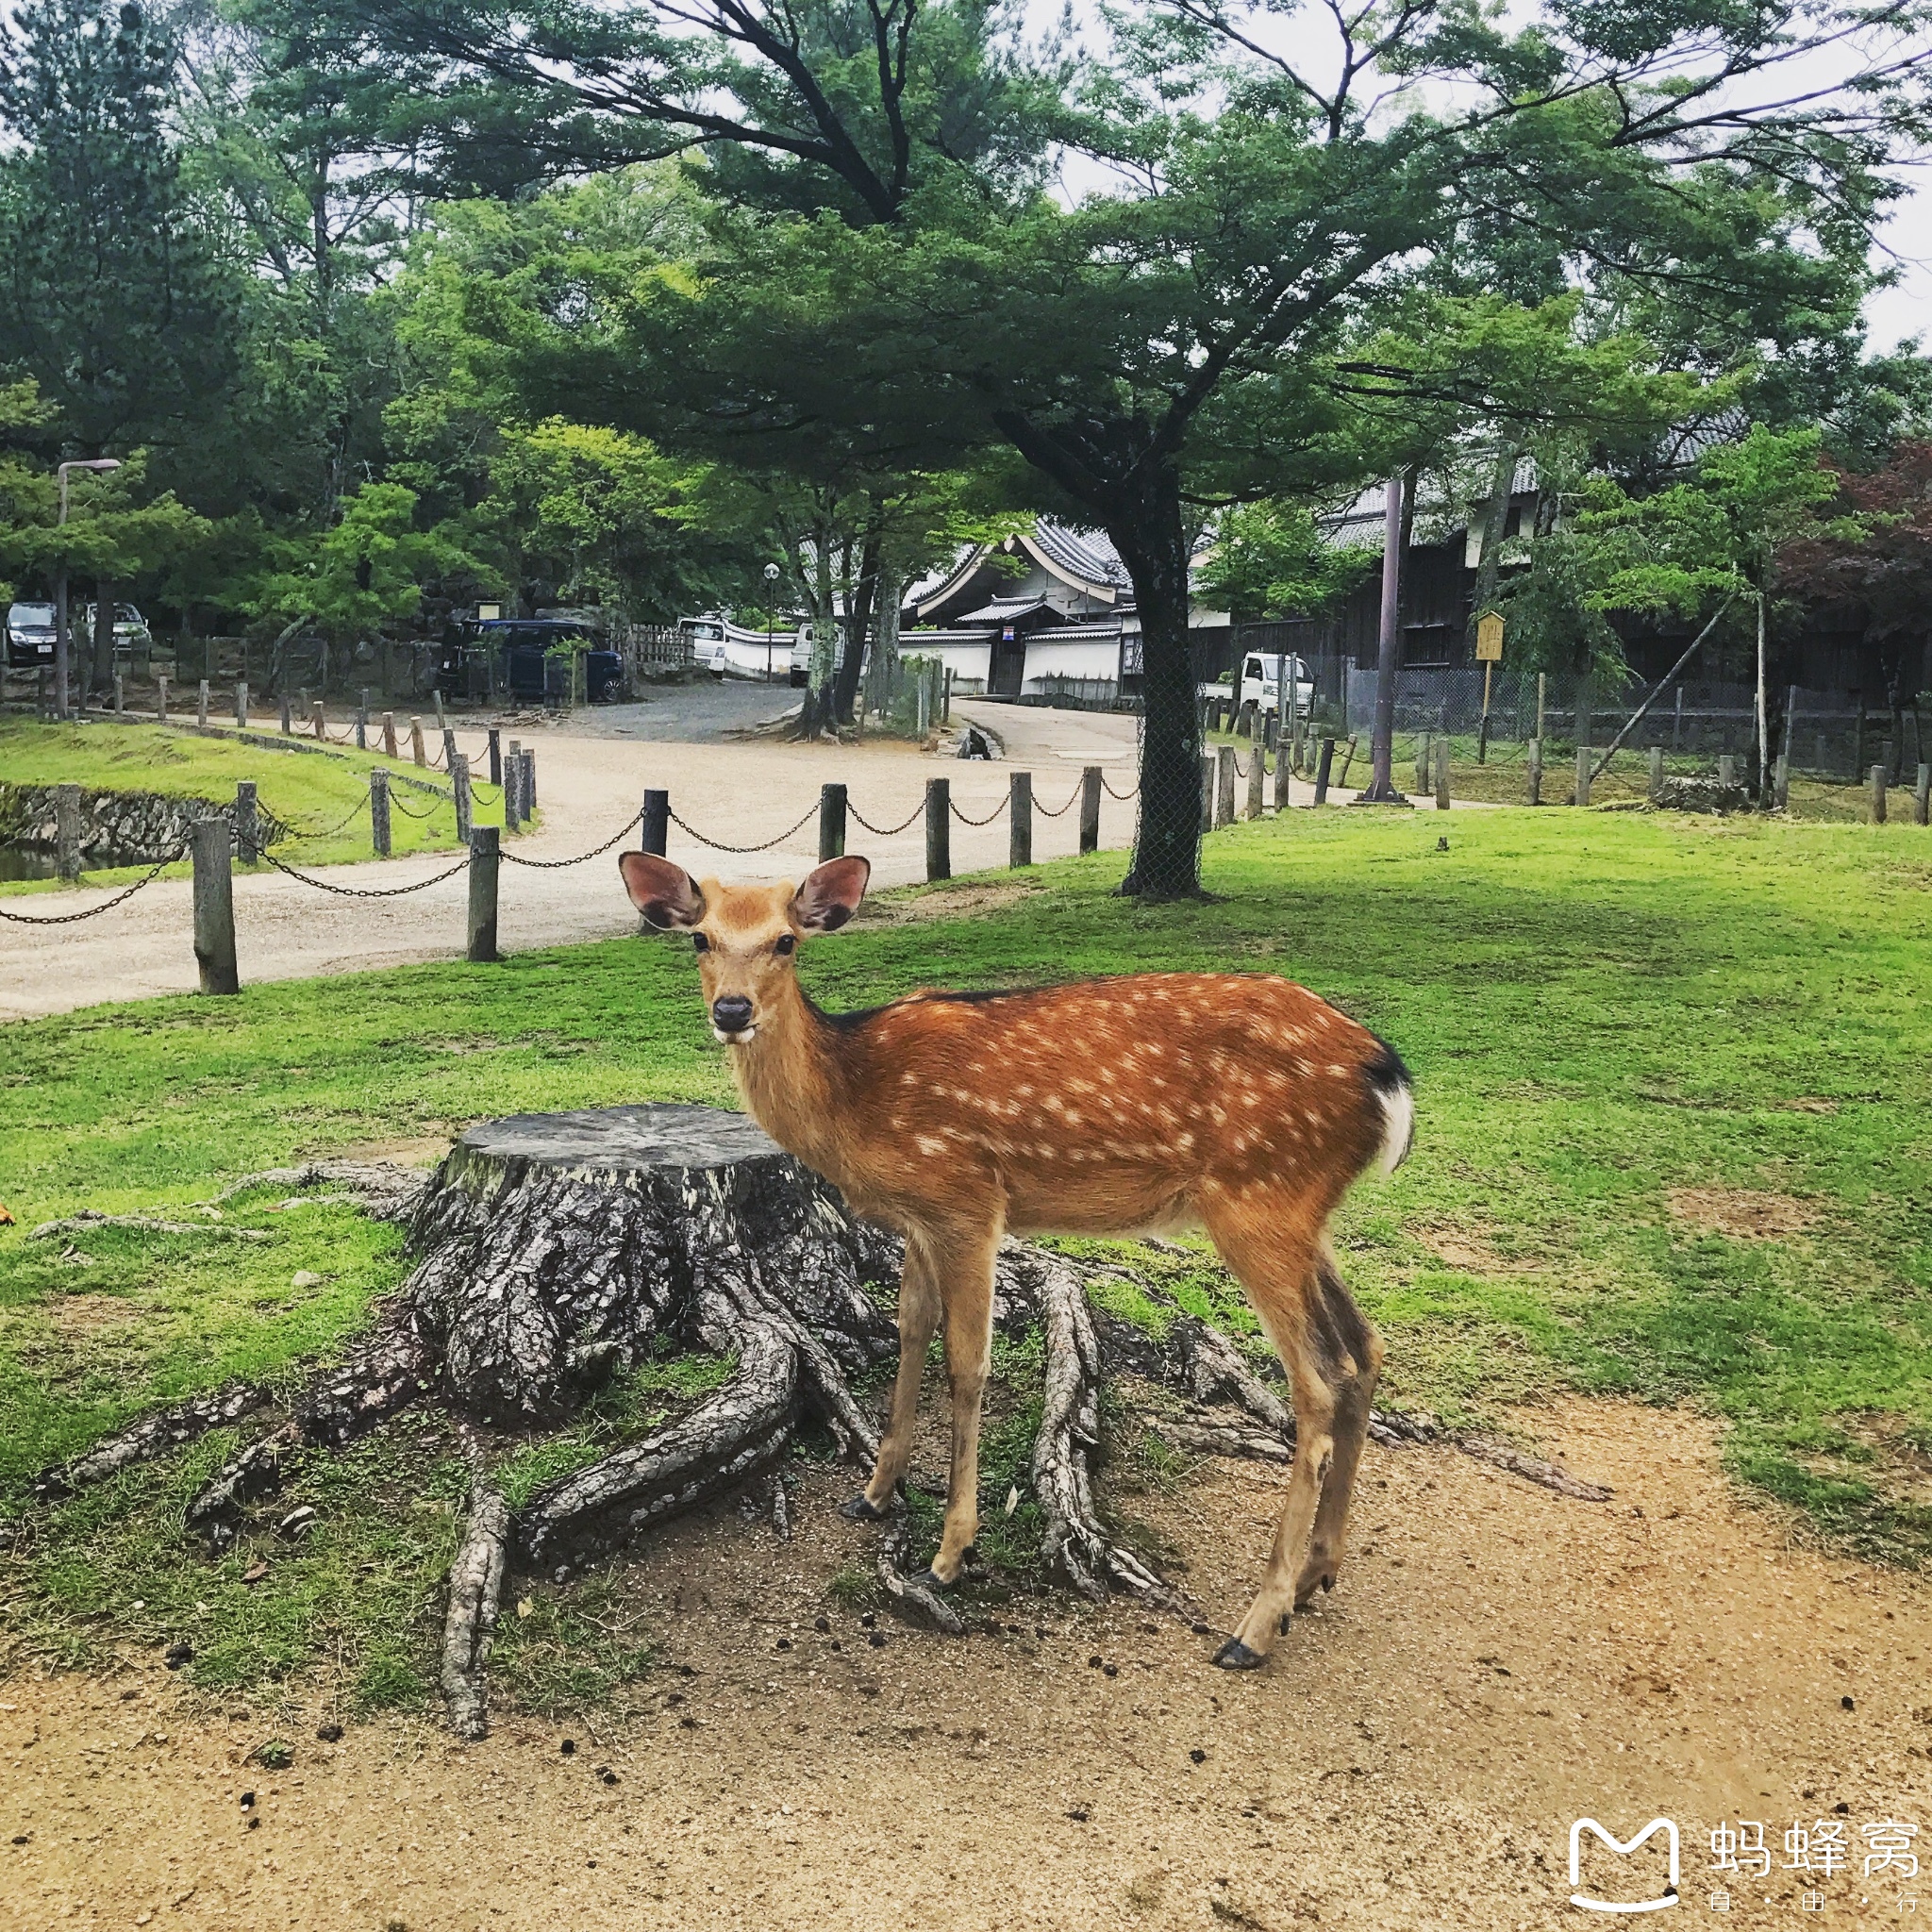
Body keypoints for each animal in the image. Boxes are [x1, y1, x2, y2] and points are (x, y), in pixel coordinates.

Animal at [622, 854, 1422, 1669]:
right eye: (700, 938)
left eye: (785, 941)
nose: (732, 1010)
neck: (853, 1100)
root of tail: (1387, 1074)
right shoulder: (918, 1219)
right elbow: (910, 1332)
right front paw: (874, 1494)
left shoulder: (968, 1199)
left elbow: (967, 1365)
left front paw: (948, 1554)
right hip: (1302, 1215)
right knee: (1364, 1348)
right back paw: (1317, 1576)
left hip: (1258, 1196)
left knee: (1317, 1383)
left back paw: (1255, 1627)